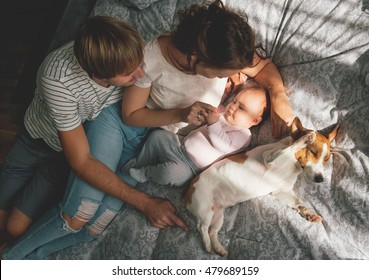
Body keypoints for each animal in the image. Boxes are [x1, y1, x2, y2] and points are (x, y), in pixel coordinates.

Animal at [185, 117, 338, 258]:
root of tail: (187, 190)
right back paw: (207, 245)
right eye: (312, 152)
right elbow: (291, 147)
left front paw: (308, 212)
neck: (295, 165)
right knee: (201, 227)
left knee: (212, 231)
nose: (320, 179)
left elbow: (298, 202)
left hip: (217, 214)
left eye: (326, 160)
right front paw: (305, 139)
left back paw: (218, 247)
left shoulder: (282, 191)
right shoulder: (272, 157)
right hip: (205, 209)